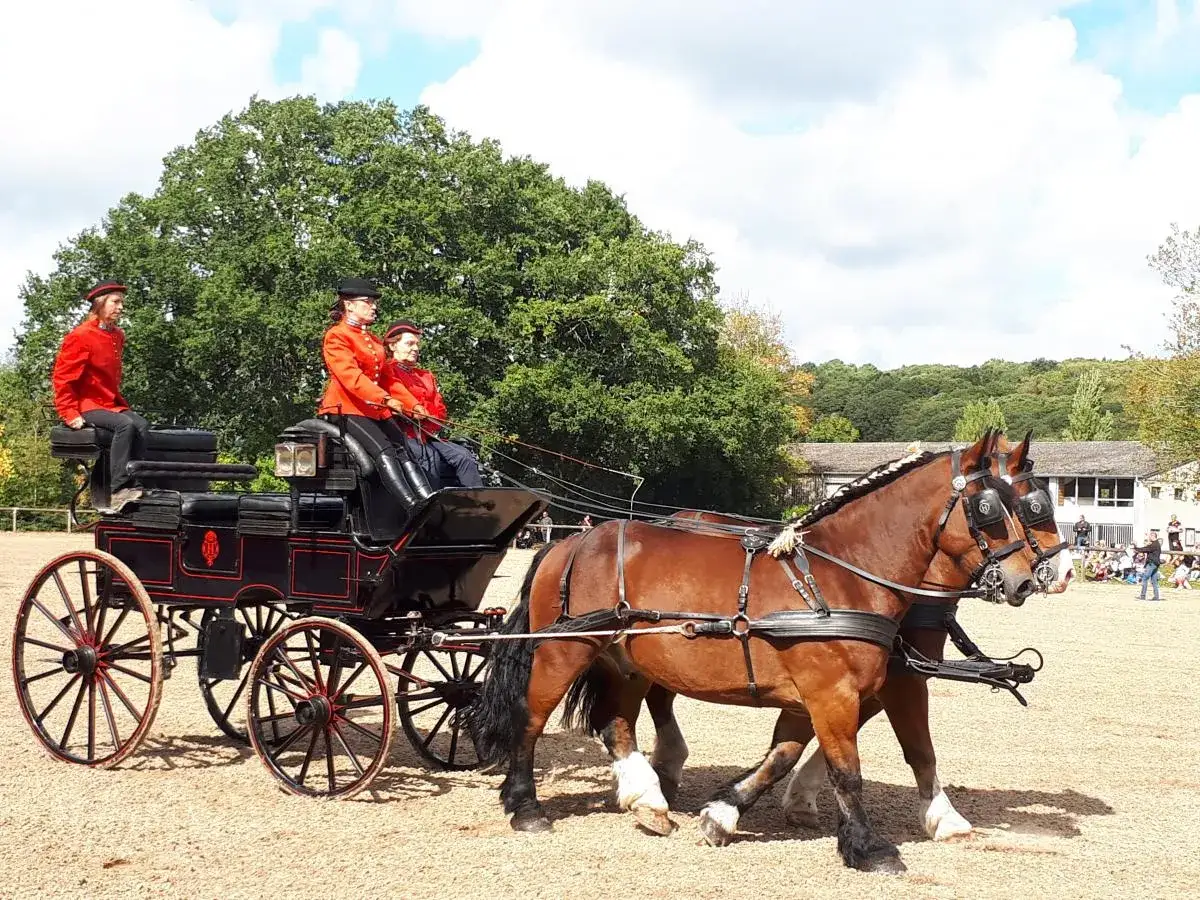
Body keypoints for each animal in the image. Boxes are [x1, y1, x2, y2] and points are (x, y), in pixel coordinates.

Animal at [469, 431, 1039, 873]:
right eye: (990, 508)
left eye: (1026, 505)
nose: (1029, 579)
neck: (841, 574)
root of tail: (568, 542)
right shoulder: (833, 693)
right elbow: (849, 770)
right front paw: (868, 848)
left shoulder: (819, 695)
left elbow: (784, 756)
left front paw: (723, 813)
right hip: (562, 652)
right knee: (530, 718)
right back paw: (526, 806)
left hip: (625, 663)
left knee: (617, 724)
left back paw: (648, 800)